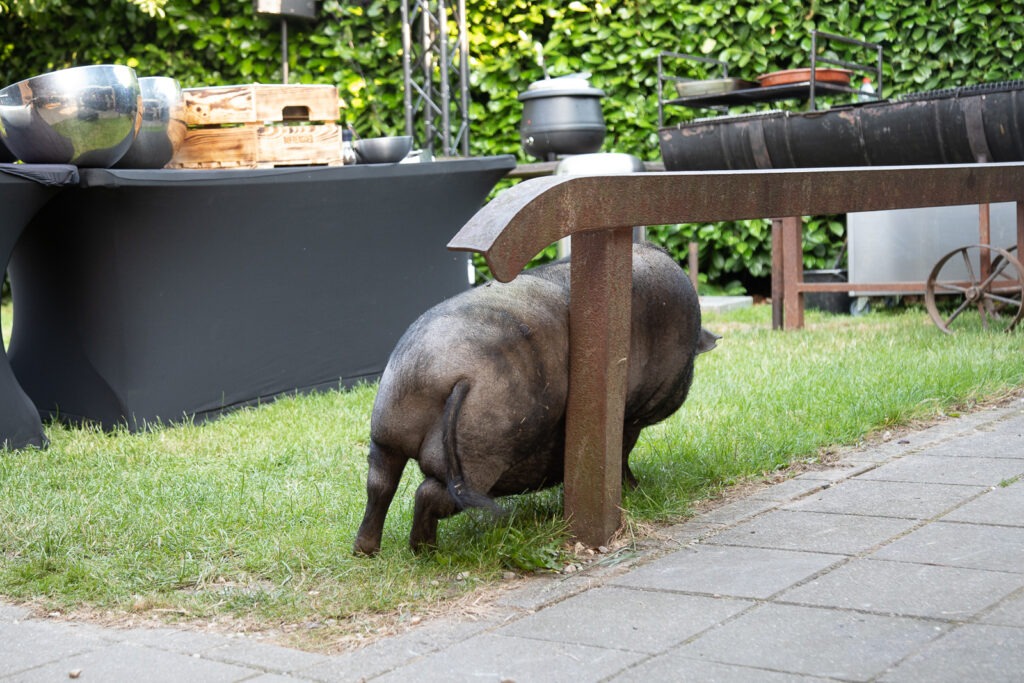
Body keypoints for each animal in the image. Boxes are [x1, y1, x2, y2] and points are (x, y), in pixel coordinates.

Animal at [356, 241, 716, 557]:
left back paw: (367, 550)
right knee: (429, 493)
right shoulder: (629, 418)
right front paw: (634, 488)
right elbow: (622, 455)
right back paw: (424, 552)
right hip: (480, 450)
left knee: (380, 483)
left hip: (388, 425)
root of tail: (441, 371)